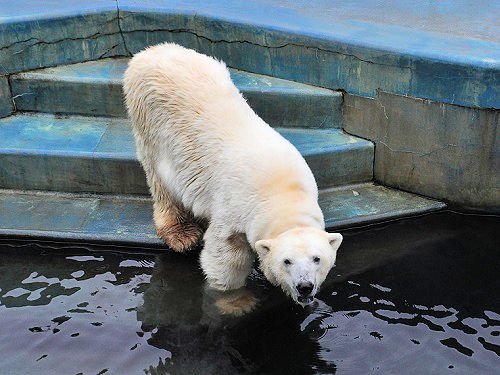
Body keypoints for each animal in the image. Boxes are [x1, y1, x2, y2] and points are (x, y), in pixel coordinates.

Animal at [124, 42, 344, 306]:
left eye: (317, 258)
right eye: (287, 261)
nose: (304, 287)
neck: (283, 191)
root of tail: (151, 51)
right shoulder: (234, 206)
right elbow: (225, 255)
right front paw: (235, 302)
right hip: (151, 120)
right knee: (160, 179)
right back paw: (182, 234)